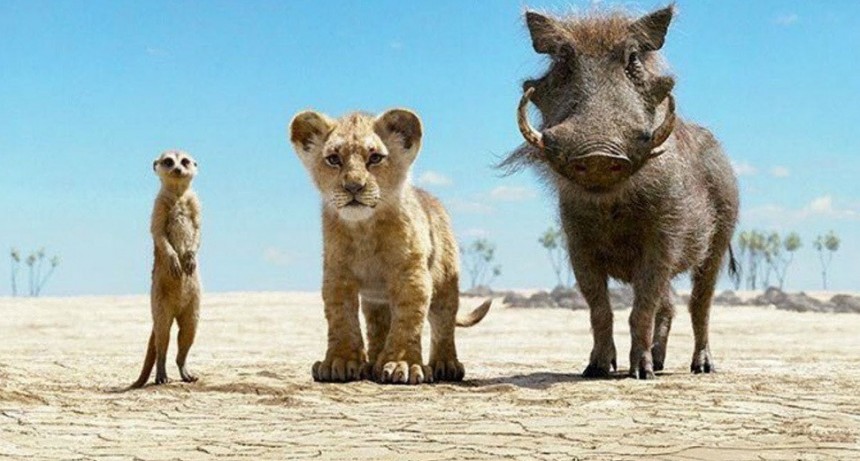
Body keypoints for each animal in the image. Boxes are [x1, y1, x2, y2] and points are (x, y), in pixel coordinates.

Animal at [289, 109, 491, 384]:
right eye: (333, 159)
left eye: (375, 158)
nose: (353, 186)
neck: (364, 229)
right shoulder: (337, 275)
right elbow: (341, 318)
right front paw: (340, 362)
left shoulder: (411, 274)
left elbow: (408, 320)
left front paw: (401, 364)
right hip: (376, 300)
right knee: (378, 326)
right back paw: (373, 364)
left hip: (445, 284)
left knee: (443, 323)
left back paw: (446, 365)